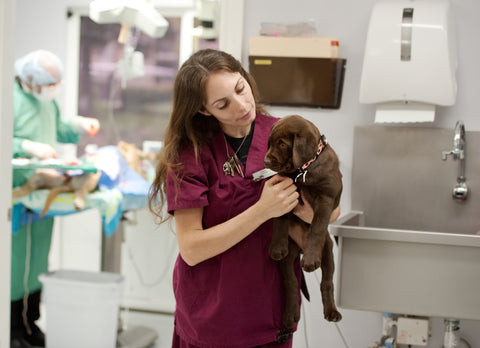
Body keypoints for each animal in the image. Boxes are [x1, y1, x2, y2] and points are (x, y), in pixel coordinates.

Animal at [264, 115, 344, 328]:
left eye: (282, 144)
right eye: (270, 143)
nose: (266, 160)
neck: (303, 170)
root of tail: (300, 248)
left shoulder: (326, 198)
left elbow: (317, 227)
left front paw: (310, 260)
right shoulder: (285, 190)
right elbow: (279, 219)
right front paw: (277, 246)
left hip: (328, 251)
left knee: (327, 283)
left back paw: (332, 312)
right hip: (287, 259)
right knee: (291, 282)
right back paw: (291, 315)